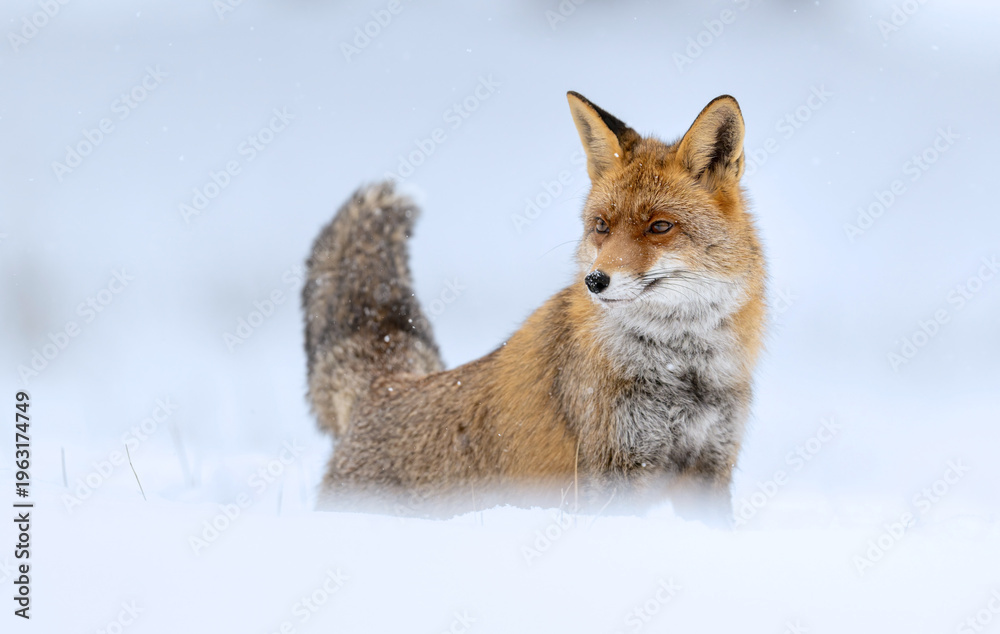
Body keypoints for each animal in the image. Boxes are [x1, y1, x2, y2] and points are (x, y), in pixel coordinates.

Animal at [302, 92, 766, 518]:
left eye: (660, 227)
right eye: (601, 226)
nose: (595, 281)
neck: (682, 365)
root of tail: (383, 386)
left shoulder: (710, 465)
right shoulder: (615, 469)